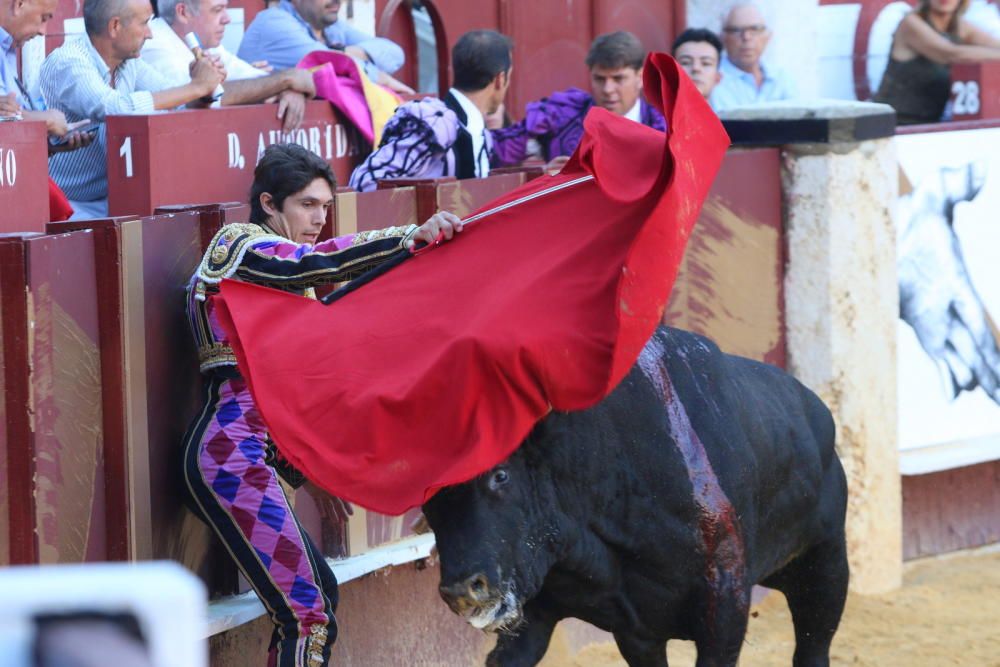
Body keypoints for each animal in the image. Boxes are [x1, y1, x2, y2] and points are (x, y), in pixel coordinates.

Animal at [420, 326, 844, 664]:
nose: (460, 591)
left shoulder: (724, 608)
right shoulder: (610, 626)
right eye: (427, 498)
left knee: (813, 647)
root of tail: (816, 407)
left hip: (826, 566)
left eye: (501, 474)